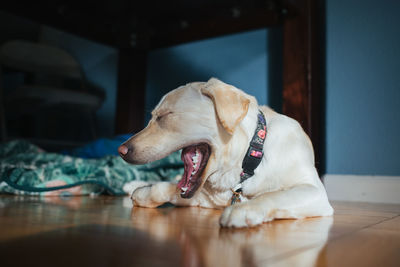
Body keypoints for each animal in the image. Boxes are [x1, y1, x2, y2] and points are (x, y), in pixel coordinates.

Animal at [118, 77, 332, 228]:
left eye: (164, 116)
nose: (120, 150)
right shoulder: (206, 197)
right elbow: (167, 187)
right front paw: (145, 192)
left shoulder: (314, 191)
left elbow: (272, 196)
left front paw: (243, 210)